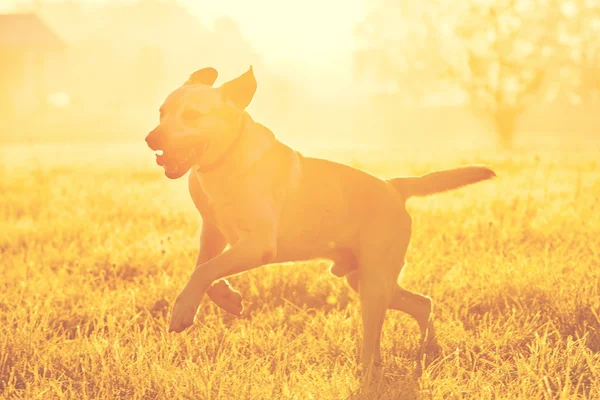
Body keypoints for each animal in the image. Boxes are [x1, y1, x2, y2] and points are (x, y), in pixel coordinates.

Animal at [145, 66, 496, 368]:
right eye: (162, 112)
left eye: (192, 115)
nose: (152, 139)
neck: (224, 160)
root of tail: (394, 186)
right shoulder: (215, 231)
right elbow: (204, 268)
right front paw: (227, 298)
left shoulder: (257, 244)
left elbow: (205, 270)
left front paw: (182, 310)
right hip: (364, 278)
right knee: (423, 303)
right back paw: (428, 349)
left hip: (374, 283)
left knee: (375, 342)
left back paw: (373, 369)